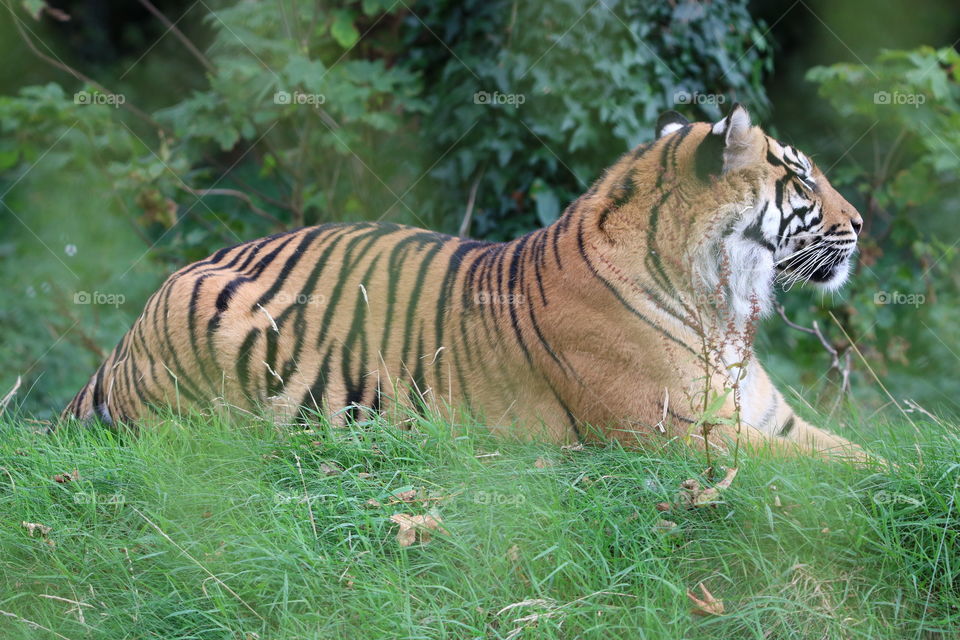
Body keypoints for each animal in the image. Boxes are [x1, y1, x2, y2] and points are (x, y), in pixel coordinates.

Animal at [63, 104, 869, 462]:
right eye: (802, 180)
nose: (862, 223)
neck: (724, 308)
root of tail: (125, 336)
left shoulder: (768, 417)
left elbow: (861, 453)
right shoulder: (678, 434)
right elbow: (820, 467)